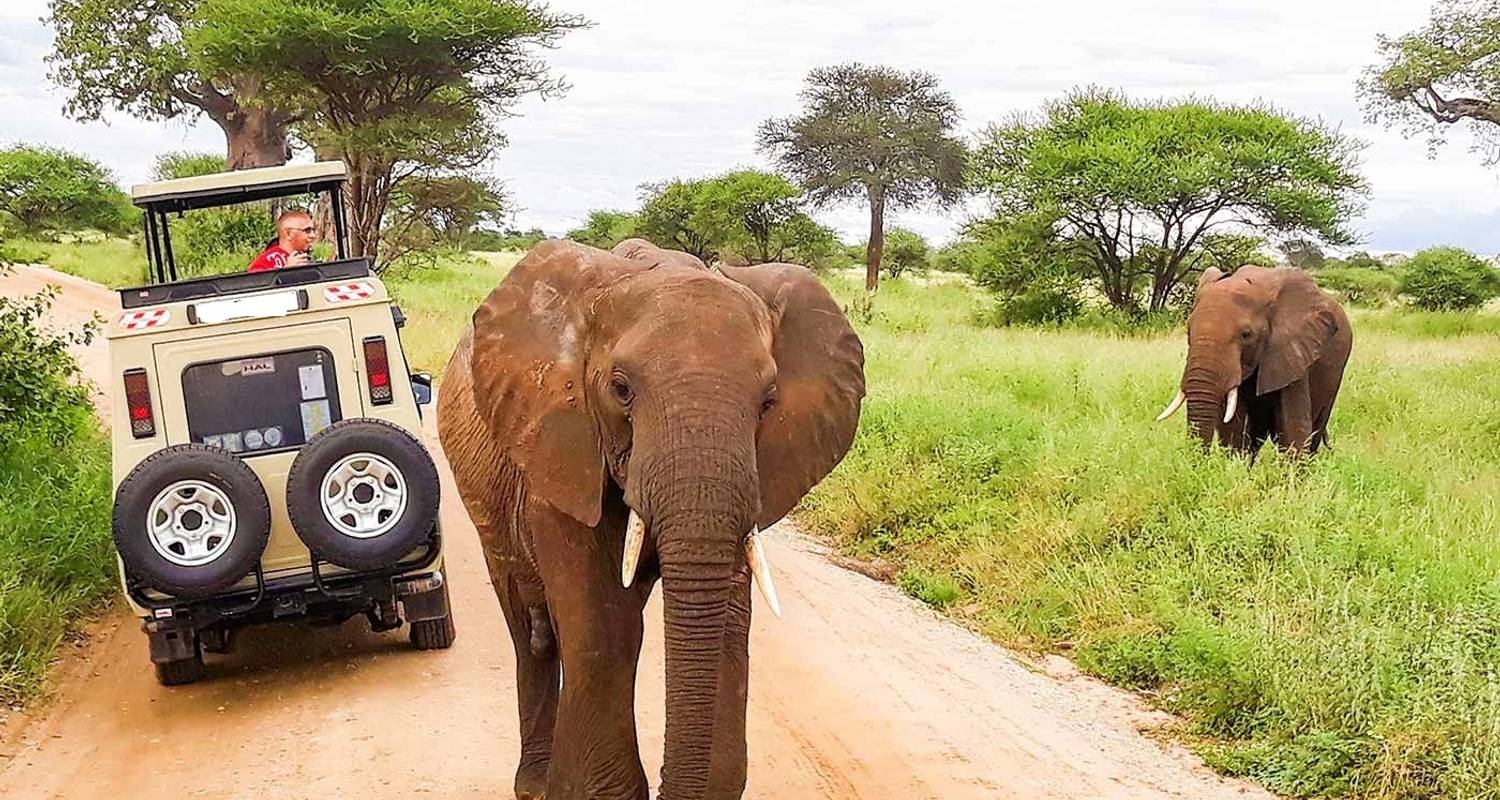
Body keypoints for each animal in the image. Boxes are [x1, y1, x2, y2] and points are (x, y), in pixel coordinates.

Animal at [435, 238, 870, 798]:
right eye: (621, 389)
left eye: (769, 402)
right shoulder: (559, 447)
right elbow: (600, 623)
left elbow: (724, 627)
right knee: (531, 629)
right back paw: (533, 785)